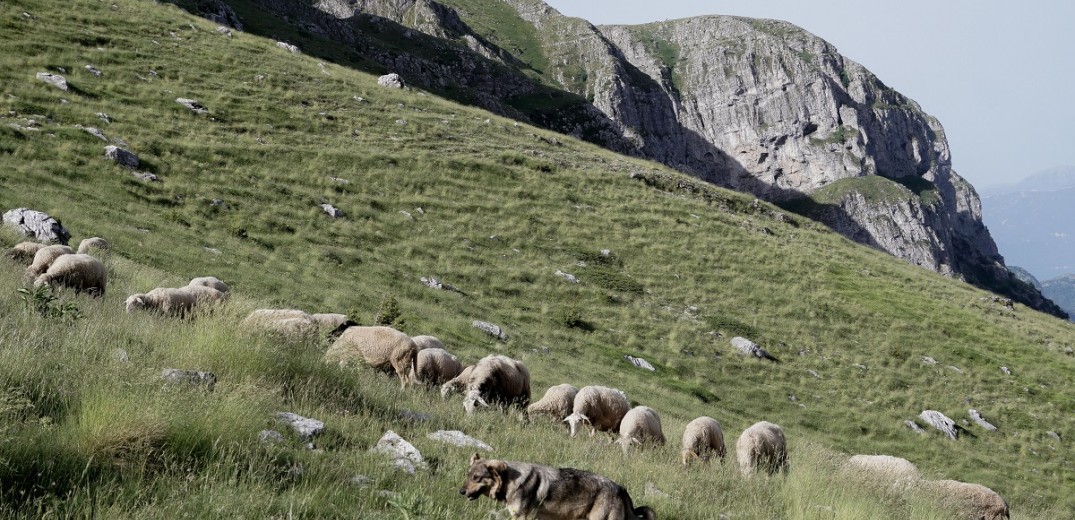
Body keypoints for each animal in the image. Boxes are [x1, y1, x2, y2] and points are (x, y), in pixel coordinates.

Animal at [455, 453, 653, 517]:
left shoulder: (523, 518)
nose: (461, 491)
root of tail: (620, 488)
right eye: (468, 476)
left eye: (477, 478)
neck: (512, 483)